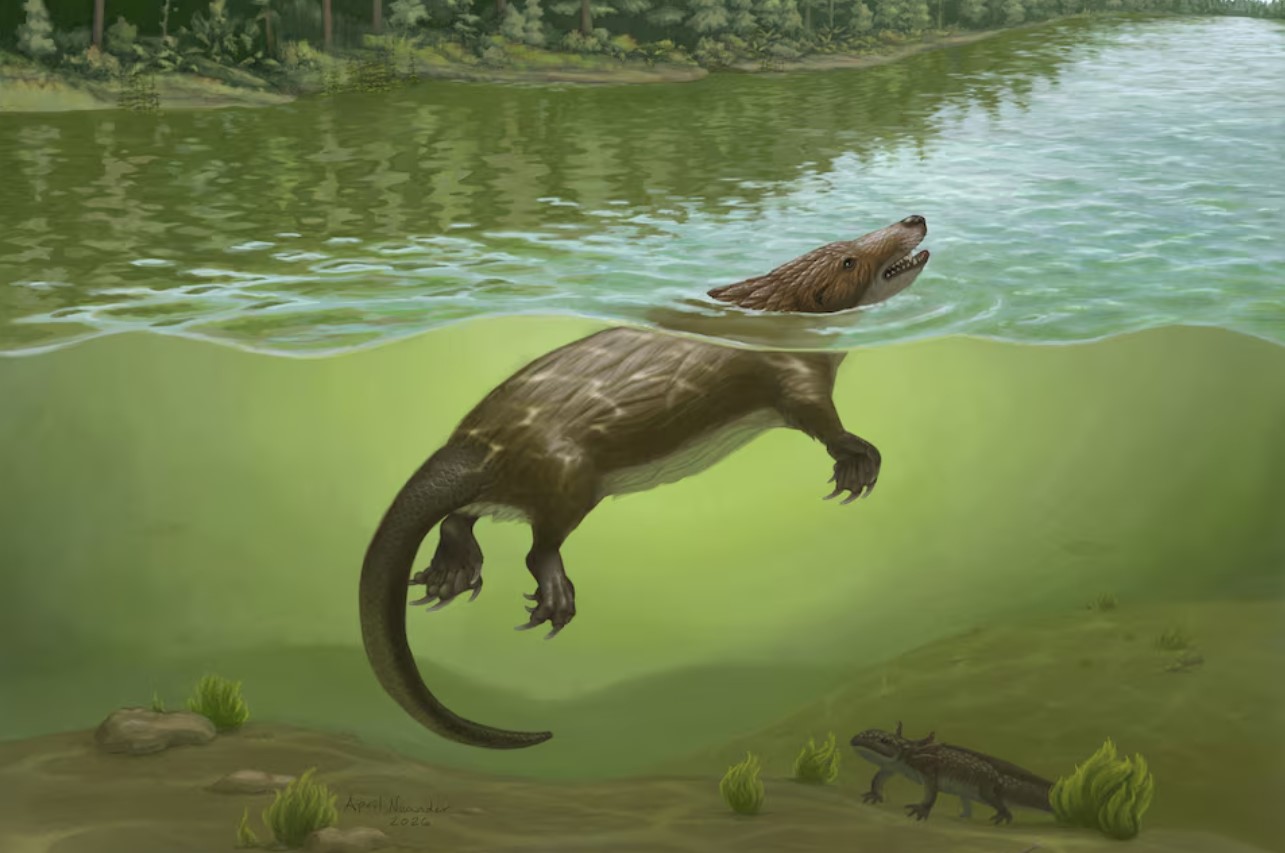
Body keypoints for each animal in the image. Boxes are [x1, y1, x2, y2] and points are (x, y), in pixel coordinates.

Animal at [360, 215, 931, 750]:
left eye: (853, 239)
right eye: (850, 260)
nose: (913, 220)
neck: (770, 311)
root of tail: (475, 447)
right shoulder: (790, 373)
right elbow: (822, 421)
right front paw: (859, 464)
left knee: (463, 516)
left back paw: (449, 575)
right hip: (568, 477)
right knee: (537, 545)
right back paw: (553, 597)